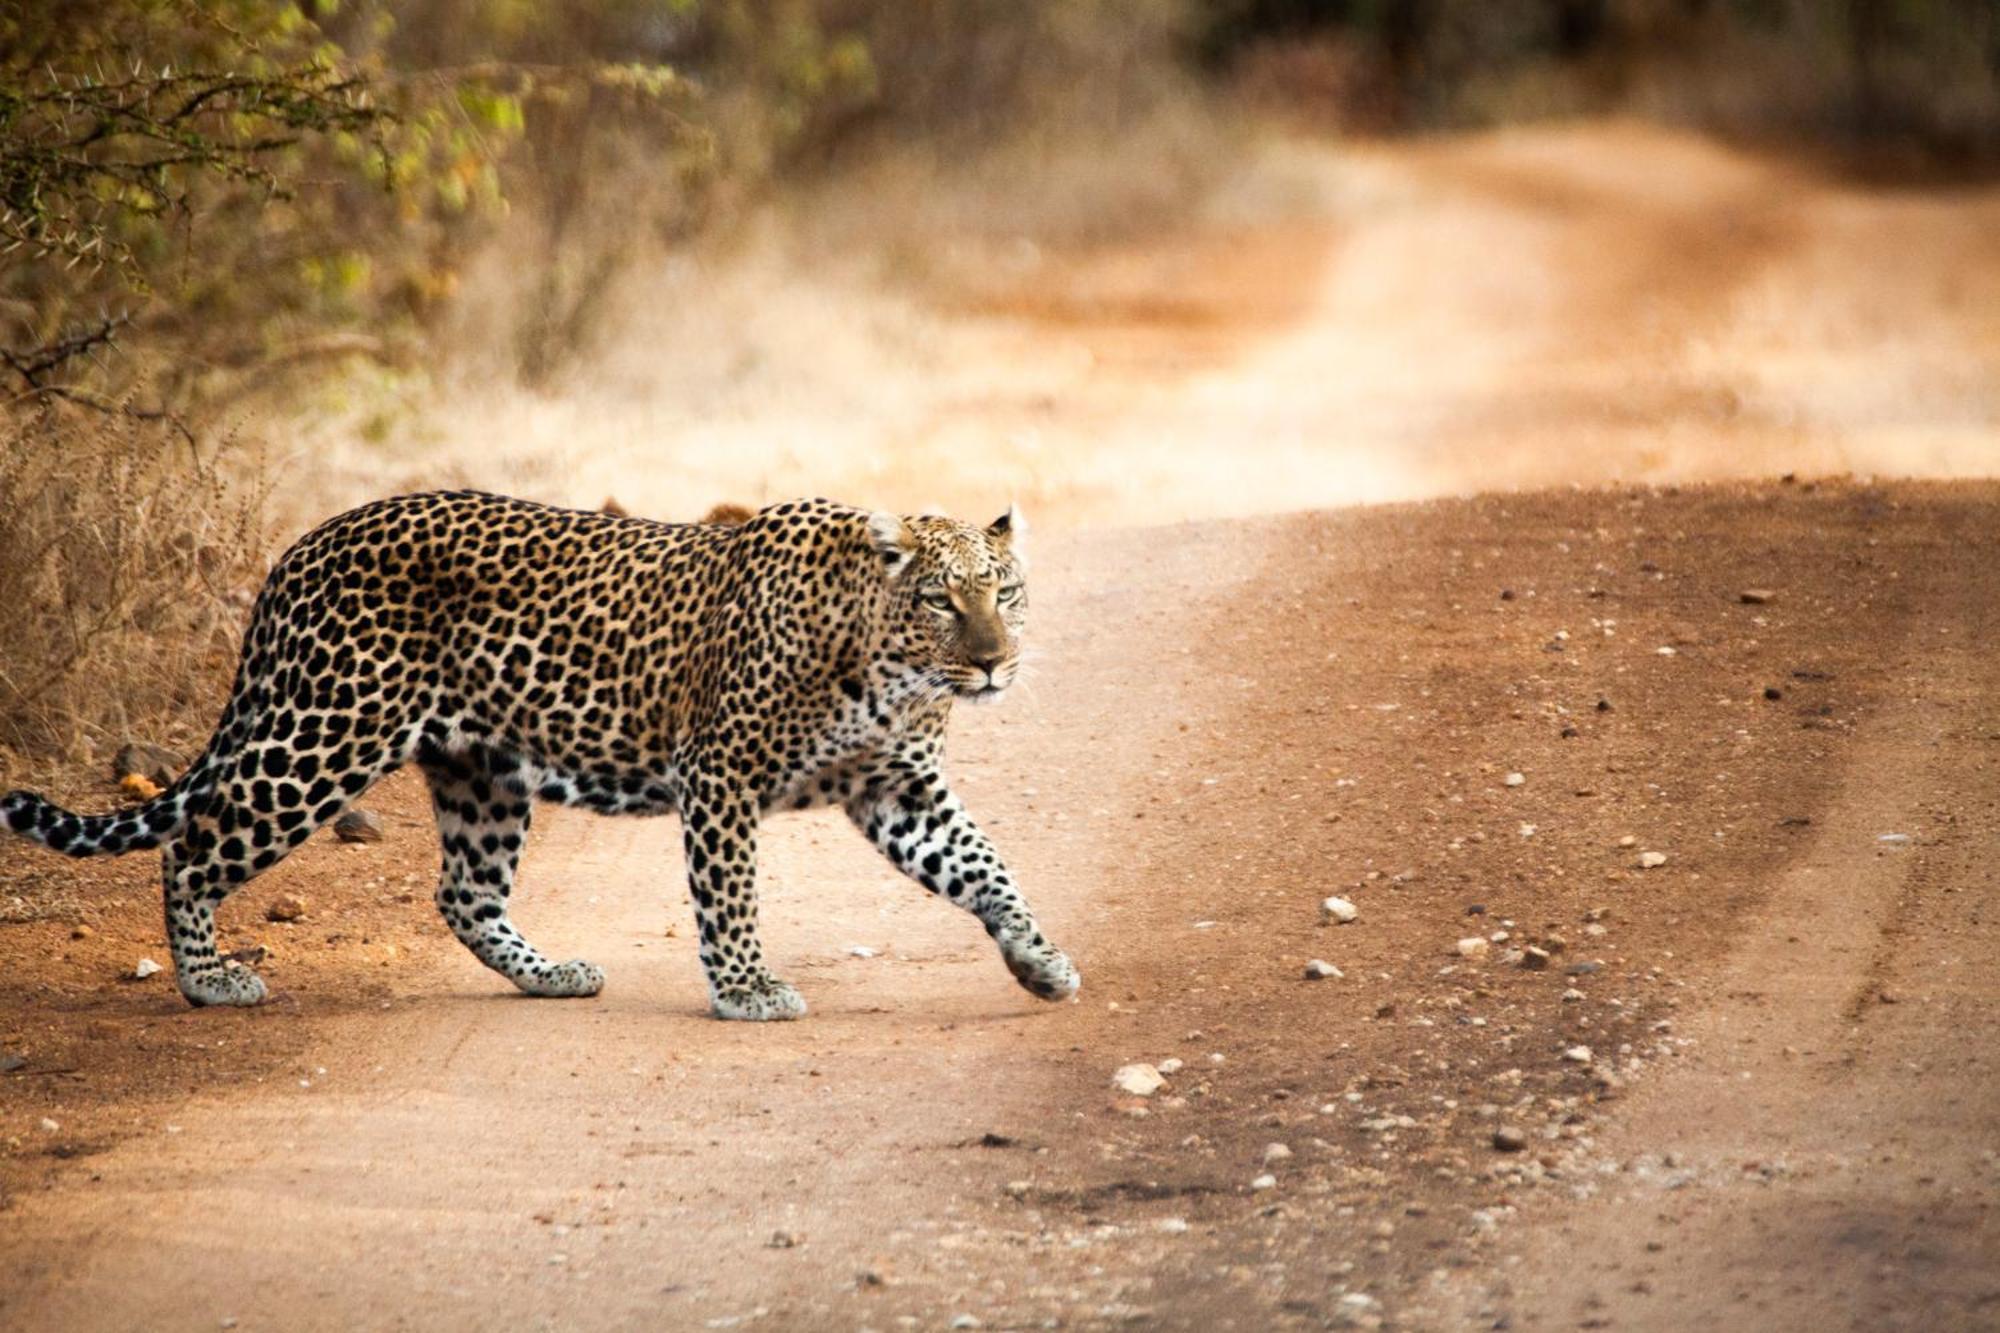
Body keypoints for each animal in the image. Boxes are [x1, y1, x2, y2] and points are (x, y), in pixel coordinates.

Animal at [0, 488, 1080, 1016]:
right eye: (941, 598)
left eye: (1006, 591)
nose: (996, 662)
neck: (888, 665)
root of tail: (298, 551)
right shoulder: (720, 772)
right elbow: (729, 893)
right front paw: (745, 990)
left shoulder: (899, 786)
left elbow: (986, 866)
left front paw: (1038, 962)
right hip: (324, 733)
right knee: (193, 847)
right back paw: (208, 981)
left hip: (480, 767)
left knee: (462, 893)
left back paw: (550, 974)